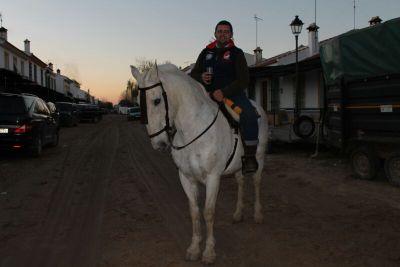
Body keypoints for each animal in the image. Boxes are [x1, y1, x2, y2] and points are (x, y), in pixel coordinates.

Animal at [131, 63, 268, 264]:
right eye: (139, 103)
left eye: (156, 101)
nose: (159, 144)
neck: (193, 130)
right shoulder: (186, 177)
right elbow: (194, 212)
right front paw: (194, 248)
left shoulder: (213, 178)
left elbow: (208, 213)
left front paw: (209, 252)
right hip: (237, 166)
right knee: (241, 183)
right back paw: (238, 213)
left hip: (259, 157)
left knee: (257, 182)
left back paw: (258, 214)